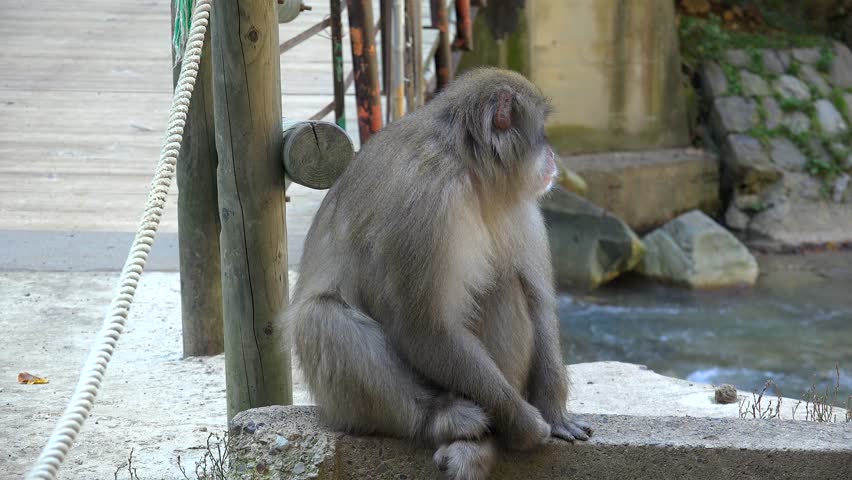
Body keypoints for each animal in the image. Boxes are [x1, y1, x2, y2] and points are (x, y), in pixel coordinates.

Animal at [289, 67, 592, 480]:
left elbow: (537, 299)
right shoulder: (425, 201)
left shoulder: (518, 202)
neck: (469, 169)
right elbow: (424, 329)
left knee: (503, 286)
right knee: (321, 317)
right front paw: (526, 423)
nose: (552, 154)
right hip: (345, 406)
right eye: (541, 129)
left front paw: (553, 412)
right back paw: (444, 419)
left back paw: (481, 445)